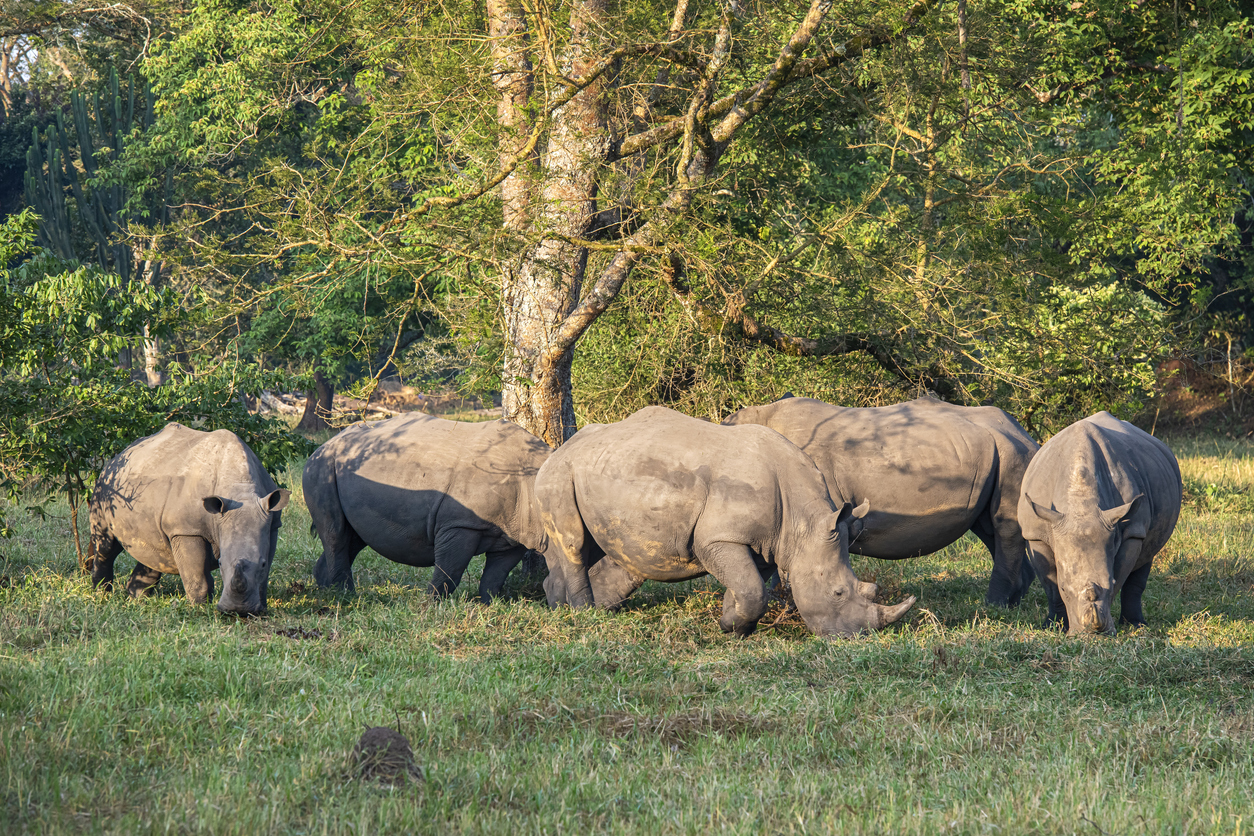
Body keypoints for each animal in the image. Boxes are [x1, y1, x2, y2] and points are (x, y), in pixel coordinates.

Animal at [88, 423, 291, 615]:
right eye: (220, 563)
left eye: (262, 563)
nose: (237, 610)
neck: (240, 489)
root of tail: (121, 454)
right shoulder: (186, 530)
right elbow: (197, 575)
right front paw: (199, 610)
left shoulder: (272, 524)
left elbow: (264, 573)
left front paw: (261, 609)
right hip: (106, 485)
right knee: (106, 545)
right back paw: (102, 595)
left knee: (154, 552)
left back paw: (135, 601)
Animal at [303, 413, 550, 600]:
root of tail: (323, 445)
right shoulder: (460, 524)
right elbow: (450, 570)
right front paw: (433, 605)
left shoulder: (513, 533)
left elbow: (496, 575)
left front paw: (489, 604)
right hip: (322, 467)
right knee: (337, 534)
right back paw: (346, 597)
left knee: (354, 537)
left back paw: (328, 590)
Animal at [536, 406, 916, 637]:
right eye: (837, 593)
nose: (856, 635)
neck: (804, 525)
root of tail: (560, 447)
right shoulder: (719, 537)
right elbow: (752, 589)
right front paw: (731, 627)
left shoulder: (768, 542)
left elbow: (750, 586)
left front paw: (734, 625)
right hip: (560, 473)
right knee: (574, 543)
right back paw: (584, 615)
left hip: (603, 471)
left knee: (600, 550)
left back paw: (561, 608)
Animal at [723, 395, 1040, 606]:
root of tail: (1023, 432)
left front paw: (787, 604)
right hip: (991, 453)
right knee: (987, 527)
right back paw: (1014, 601)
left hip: (1013, 452)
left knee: (1003, 525)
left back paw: (993, 606)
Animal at [1018, 412, 1182, 635]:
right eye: (1064, 588)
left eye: (1110, 584)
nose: (1091, 634)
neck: (1081, 506)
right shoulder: (1035, 533)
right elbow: (1050, 585)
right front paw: (1053, 627)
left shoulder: (1131, 529)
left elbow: (1120, 574)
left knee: (1147, 554)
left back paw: (1136, 625)